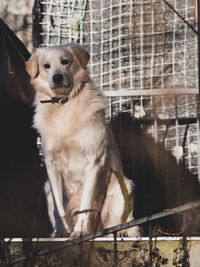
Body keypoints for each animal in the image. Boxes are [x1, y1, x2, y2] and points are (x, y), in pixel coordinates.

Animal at [26, 44, 139, 239]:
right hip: (47, 187)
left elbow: (86, 206)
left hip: (124, 189)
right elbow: (59, 209)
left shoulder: (94, 162)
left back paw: (120, 233)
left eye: (65, 61)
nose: (57, 77)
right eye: (47, 66)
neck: (64, 106)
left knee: (121, 226)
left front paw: (79, 231)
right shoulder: (51, 165)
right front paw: (62, 232)